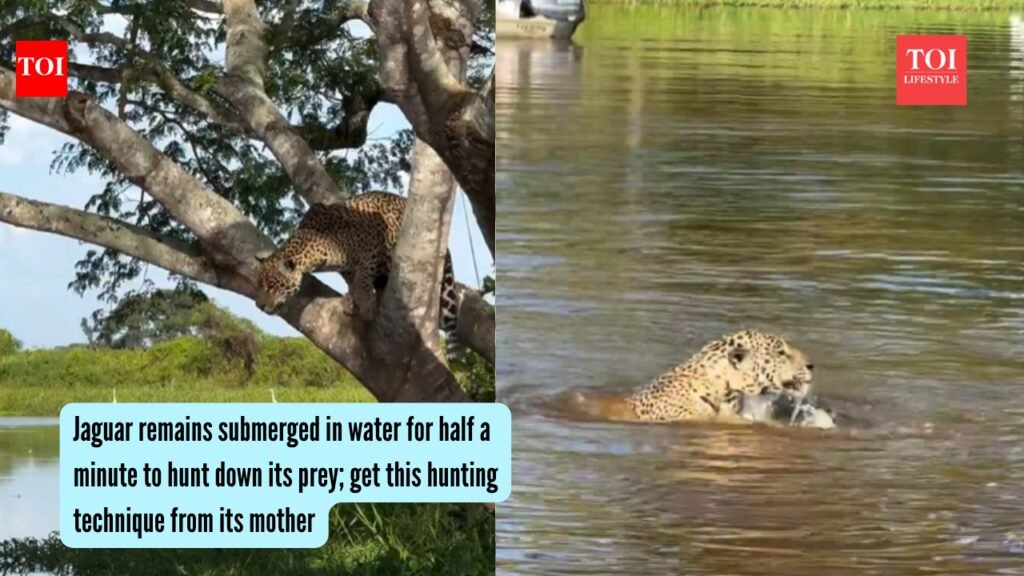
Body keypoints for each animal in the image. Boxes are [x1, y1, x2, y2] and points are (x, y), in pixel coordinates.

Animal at [253, 191, 463, 361]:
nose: (259, 305)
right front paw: (351, 299)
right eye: (259, 285)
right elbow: (351, 280)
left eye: (271, 286)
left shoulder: (371, 243)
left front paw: (365, 304)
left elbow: (362, 278)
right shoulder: (346, 267)